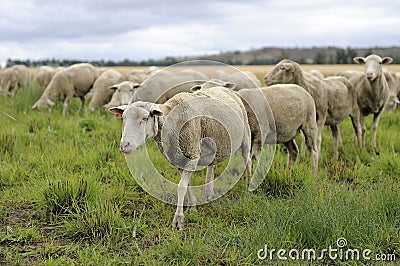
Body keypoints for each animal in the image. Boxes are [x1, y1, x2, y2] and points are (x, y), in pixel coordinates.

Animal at [106, 87, 250, 229]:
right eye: (123, 117)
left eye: (145, 118)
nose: (124, 145)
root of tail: (225, 88)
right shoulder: (178, 160)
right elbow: (187, 185)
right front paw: (192, 207)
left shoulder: (193, 154)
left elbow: (181, 186)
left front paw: (178, 220)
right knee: (212, 165)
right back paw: (209, 193)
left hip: (246, 135)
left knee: (247, 160)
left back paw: (249, 187)